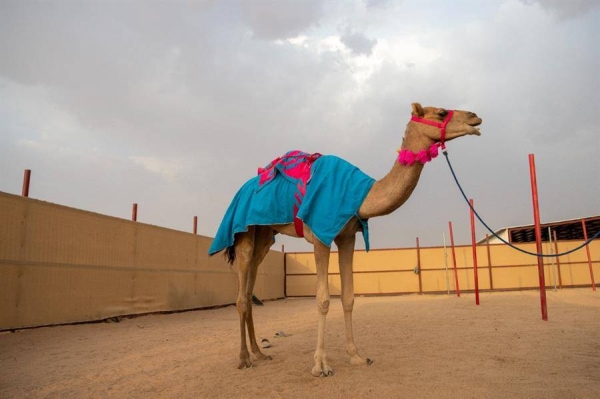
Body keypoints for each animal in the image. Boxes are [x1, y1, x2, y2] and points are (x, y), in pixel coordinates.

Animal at [209, 103, 480, 378]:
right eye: (441, 112)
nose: (475, 118)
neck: (359, 196)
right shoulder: (320, 236)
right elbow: (323, 299)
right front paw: (321, 365)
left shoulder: (347, 236)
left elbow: (348, 297)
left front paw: (356, 356)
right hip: (243, 232)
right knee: (241, 295)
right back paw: (244, 358)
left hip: (264, 235)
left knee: (251, 286)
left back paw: (260, 353)